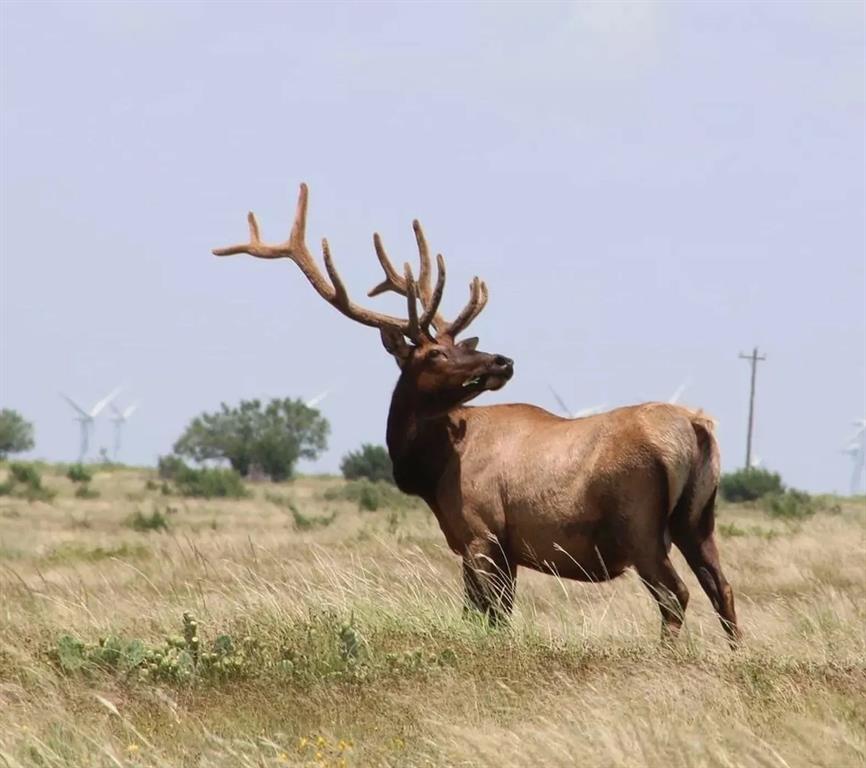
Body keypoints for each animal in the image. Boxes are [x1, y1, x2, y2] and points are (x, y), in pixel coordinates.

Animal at [213, 183, 740, 644]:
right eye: (435, 353)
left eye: (453, 348)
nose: (501, 361)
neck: (431, 471)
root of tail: (697, 427)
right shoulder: (501, 546)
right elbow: (491, 613)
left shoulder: (479, 531)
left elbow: (485, 614)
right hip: (698, 519)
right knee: (722, 588)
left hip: (640, 523)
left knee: (676, 595)